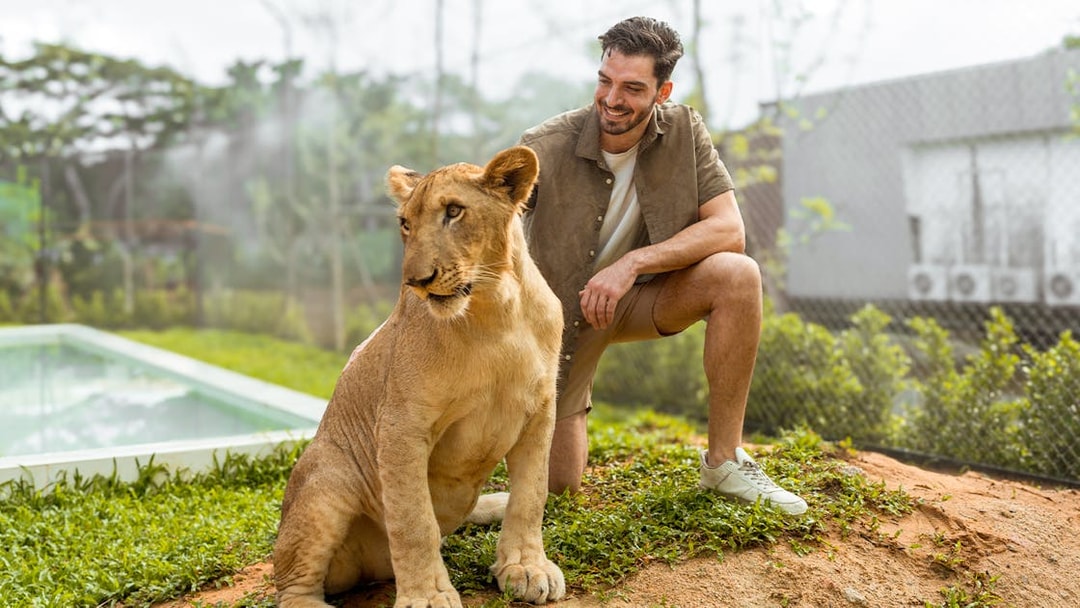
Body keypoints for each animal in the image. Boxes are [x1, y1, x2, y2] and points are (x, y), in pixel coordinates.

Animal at [273, 146, 566, 608]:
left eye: (454, 211)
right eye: (406, 223)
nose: (417, 281)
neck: (495, 312)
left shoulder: (540, 410)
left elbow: (531, 495)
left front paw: (526, 567)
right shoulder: (399, 426)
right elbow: (413, 520)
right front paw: (427, 595)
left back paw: (494, 502)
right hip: (326, 475)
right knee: (291, 585)